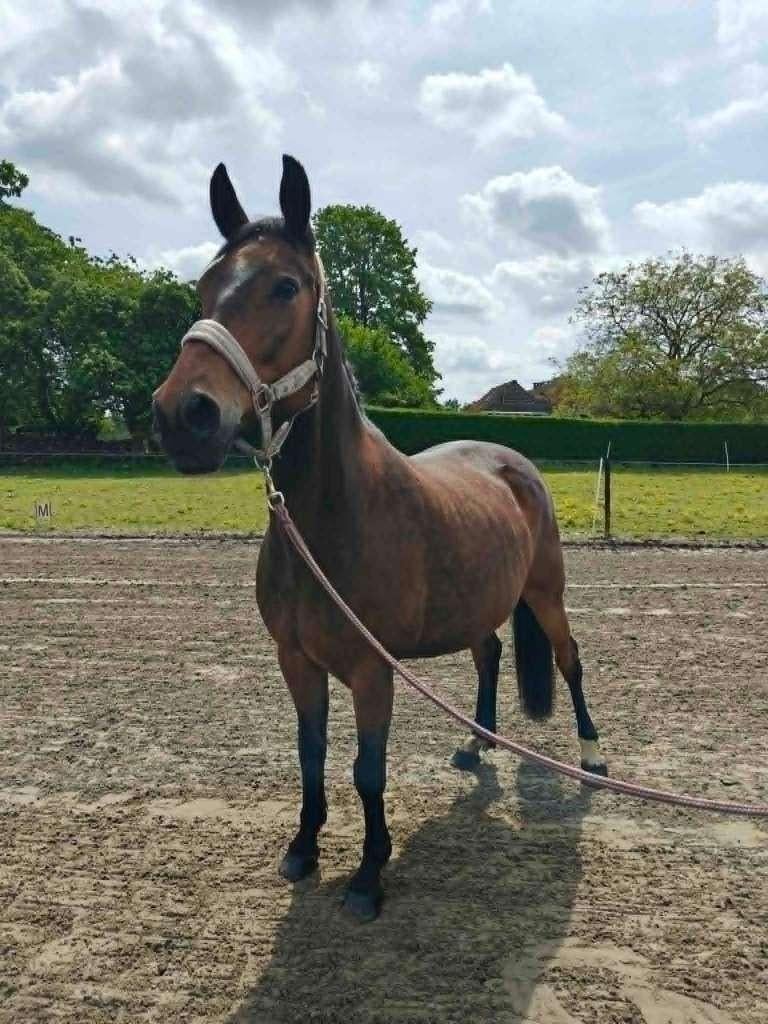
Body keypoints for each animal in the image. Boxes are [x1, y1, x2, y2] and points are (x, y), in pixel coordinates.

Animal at [152, 155, 607, 922]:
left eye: (285, 285)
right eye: (205, 286)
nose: (183, 415)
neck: (333, 521)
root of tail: (514, 461)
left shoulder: (371, 669)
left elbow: (368, 769)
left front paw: (369, 874)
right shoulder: (296, 661)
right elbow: (310, 756)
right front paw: (303, 848)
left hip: (547, 593)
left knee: (571, 661)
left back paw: (592, 755)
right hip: (480, 604)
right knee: (488, 656)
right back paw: (474, 746)